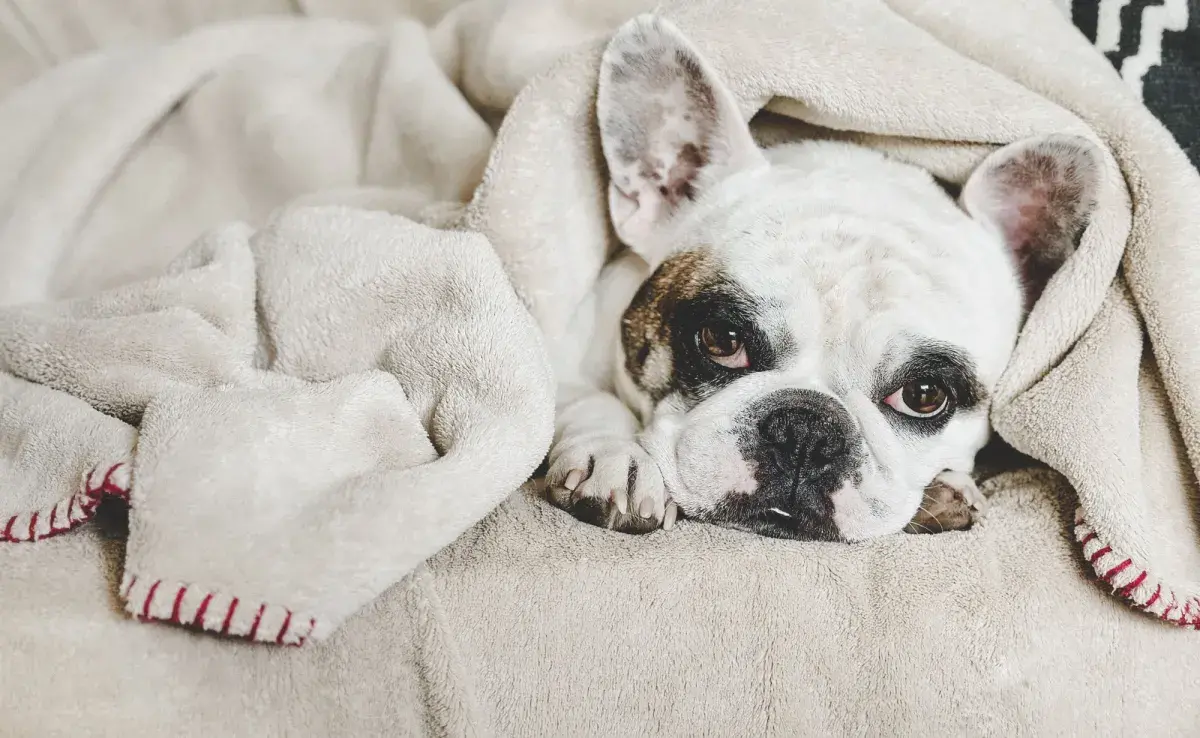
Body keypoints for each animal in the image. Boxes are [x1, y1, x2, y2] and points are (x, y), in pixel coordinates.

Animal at [544, 12, 1099, 542]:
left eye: (924, 396)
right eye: (722, 340)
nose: (807, 430)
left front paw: (948, 489)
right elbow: (582, 398)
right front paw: (617, 456)